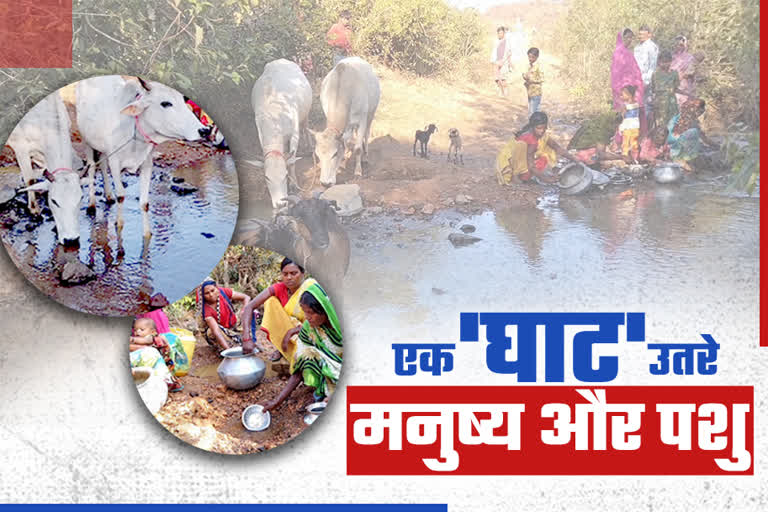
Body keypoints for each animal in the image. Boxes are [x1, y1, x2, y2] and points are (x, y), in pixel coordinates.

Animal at [7, 92, 84, 246]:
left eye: (80, 198)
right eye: (54, 201)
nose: (71, 240)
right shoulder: (21, 149)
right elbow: (30, 180)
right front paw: (34, 210)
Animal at [75, 74, 210, 238]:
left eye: (184, 101)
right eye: (165, 103)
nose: (204, 130)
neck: (134, 133)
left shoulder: (146, 163)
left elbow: (145, 203)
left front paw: (147, 235)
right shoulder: (115, 162)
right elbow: (121, 195)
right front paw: (119, 225)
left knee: (102, 164)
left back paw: (108, 196)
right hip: (87, 142)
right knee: (92, 167)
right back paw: (92, 205)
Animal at [252, 57, 312, 206]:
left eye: (285, 176)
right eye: (267, 178)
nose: (280, 203)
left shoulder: (295, 133)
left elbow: (292, 161)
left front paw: (293, 185)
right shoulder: (261, 133)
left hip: (306, 113)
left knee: (306, 126)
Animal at [312, 57, 380, 185]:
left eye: (334, 154)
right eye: (317, 154)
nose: (325, 183)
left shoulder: (362, 120)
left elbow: (358, 148)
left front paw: (358, 171)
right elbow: (345, 141)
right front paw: (343, 160)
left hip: (371, 113)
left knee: (367, 134)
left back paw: (365, 156)